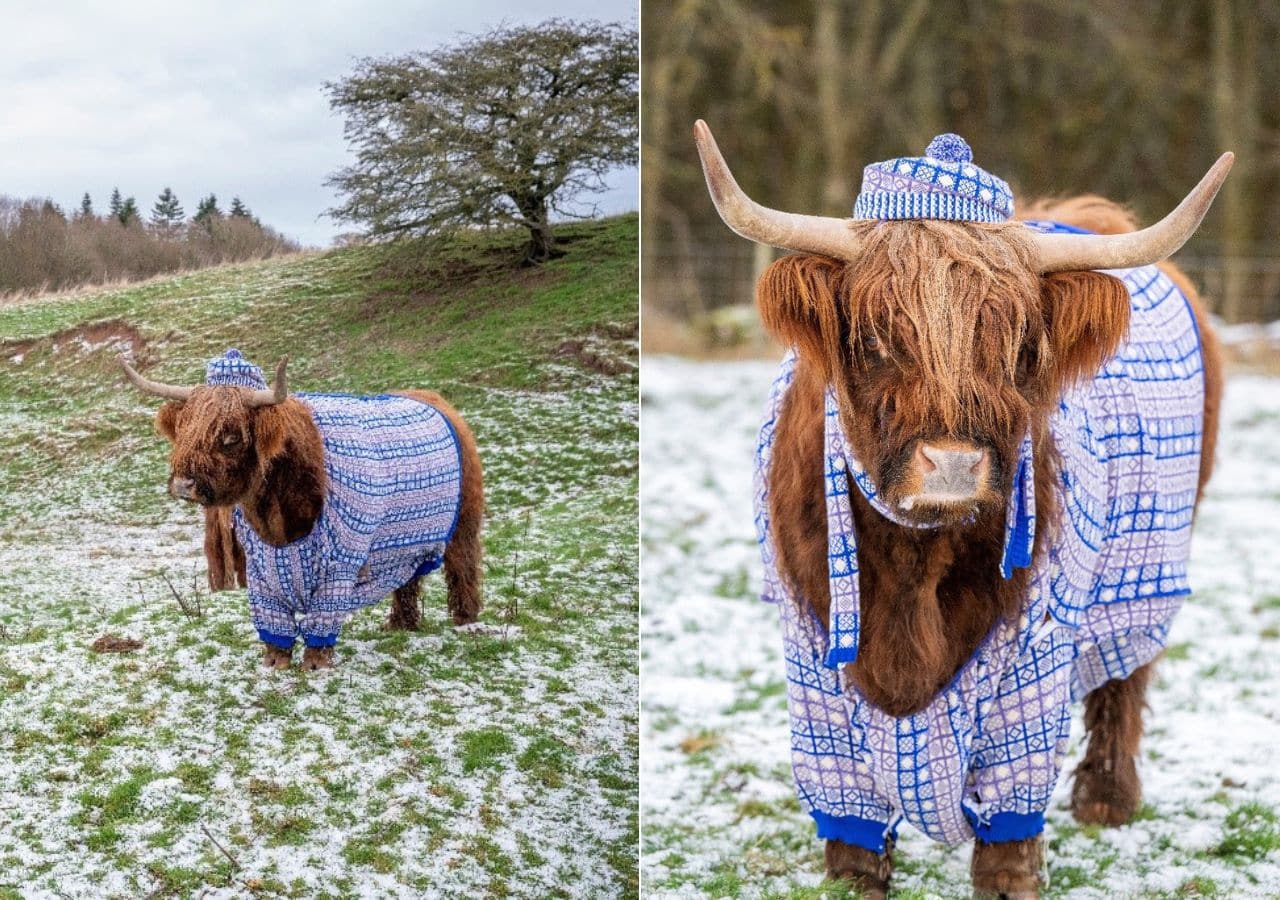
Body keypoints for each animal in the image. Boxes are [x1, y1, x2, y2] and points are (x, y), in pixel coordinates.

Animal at [122, 350, 481, 670]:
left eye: (231, 436)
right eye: (184, 428)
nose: (184, 484)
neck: (278, 520)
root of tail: (434, 399)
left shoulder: (339, 565)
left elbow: (323, 616)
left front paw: (315, 663)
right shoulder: (261, 569)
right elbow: (273, 620)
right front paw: (275, 662)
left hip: (463, 522)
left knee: (463, 565)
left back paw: (465, 619)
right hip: (404, 545)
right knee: (408, 579)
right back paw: (401, 624)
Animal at [696, 121, 1233, 900]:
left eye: (1020, 343)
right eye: (874, 336)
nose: (952, 464)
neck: (912, 562)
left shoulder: (1036, 645)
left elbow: (1014, 790)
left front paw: (1010, 879)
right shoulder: (810, 651)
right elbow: (848, 803)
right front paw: (855, 878)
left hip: (1153, 560)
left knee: (1126, 672)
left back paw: (1106, 798)